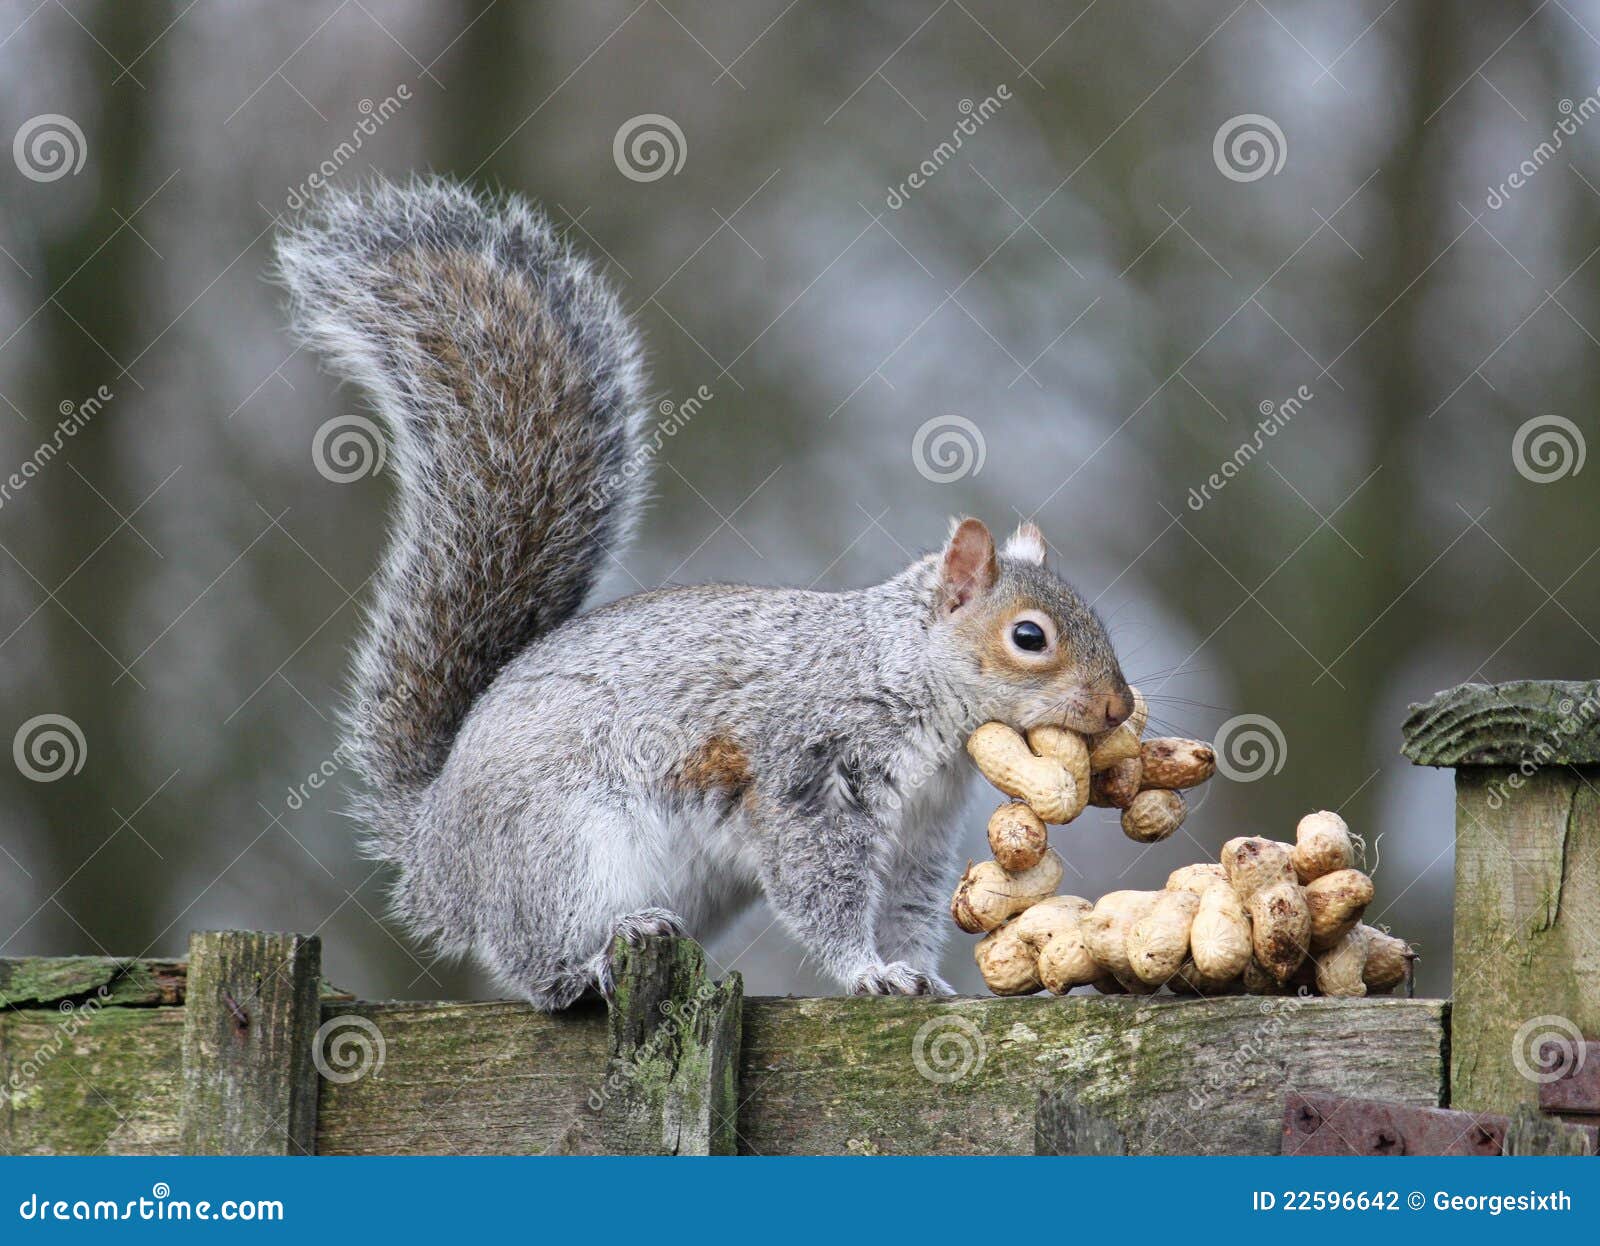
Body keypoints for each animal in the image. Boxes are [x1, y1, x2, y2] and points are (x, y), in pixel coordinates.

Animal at [274, 176, 1132, 1010]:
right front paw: (867, 972)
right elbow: (821, 888)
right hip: (563, 852)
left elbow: (909, 908)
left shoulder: (919, 836)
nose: (1120, 708)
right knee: (535, 968)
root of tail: (437, 850)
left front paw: (921, 974)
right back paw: (593, 964)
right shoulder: (809, 780)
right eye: (1029, 637)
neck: (903, 682)